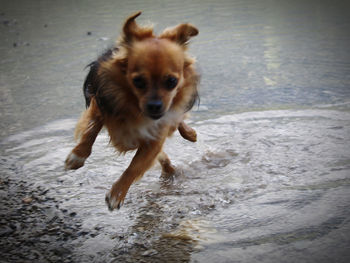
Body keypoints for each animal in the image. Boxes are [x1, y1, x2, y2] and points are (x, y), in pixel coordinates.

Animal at [64, 11, 198, 212]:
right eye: (138, 81)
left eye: (171, 82)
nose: (155, 105)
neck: (135, 109)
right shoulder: (101, 105)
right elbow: (91, 129)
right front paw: (77, 156)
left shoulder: (155, 136)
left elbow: (135, 166)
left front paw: (117, 193)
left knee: (177, 125)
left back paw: (189, 135)